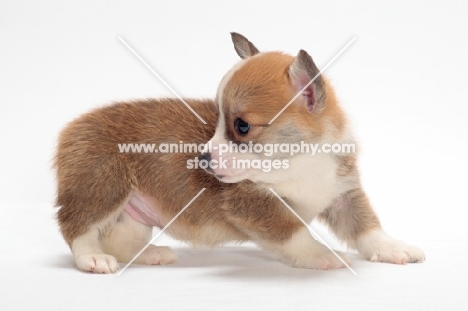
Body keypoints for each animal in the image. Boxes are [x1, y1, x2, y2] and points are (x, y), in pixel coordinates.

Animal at [54, 33, 424, 274]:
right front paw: (324, 254)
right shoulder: (255, 204)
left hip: (132, 216)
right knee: (76, 226)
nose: (202, 160)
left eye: (242, 126)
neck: (299, 162)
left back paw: (149, 255)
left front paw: (392, 248)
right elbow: (295, 232)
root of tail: (71, 127)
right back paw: (92, 259)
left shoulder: (343, 192)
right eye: (218, 120)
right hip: (103, 189)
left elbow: (366, 227)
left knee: (119, 240)